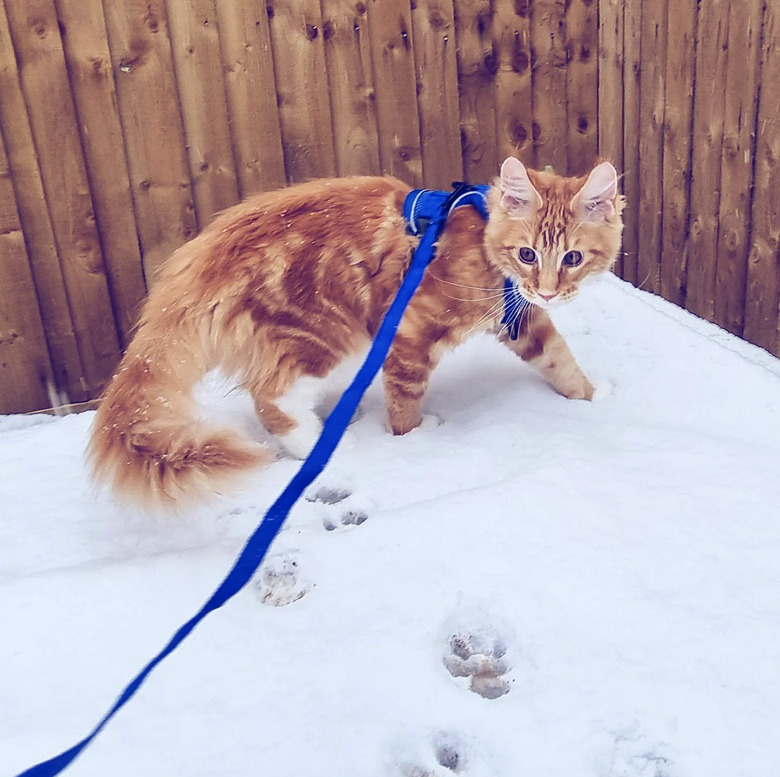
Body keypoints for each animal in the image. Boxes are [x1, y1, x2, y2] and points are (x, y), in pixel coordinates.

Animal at [91, 158, 624, 510]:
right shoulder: (409, 333)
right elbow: (405, 404)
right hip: (330, 337)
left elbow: (559, 360)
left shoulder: (522, 318)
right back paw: (324, 448)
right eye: (528, 254)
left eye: (573, 258)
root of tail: (205, 256)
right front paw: (412, 443)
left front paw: (593, 398)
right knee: (270, 400)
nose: (549, 290)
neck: (481, 237)